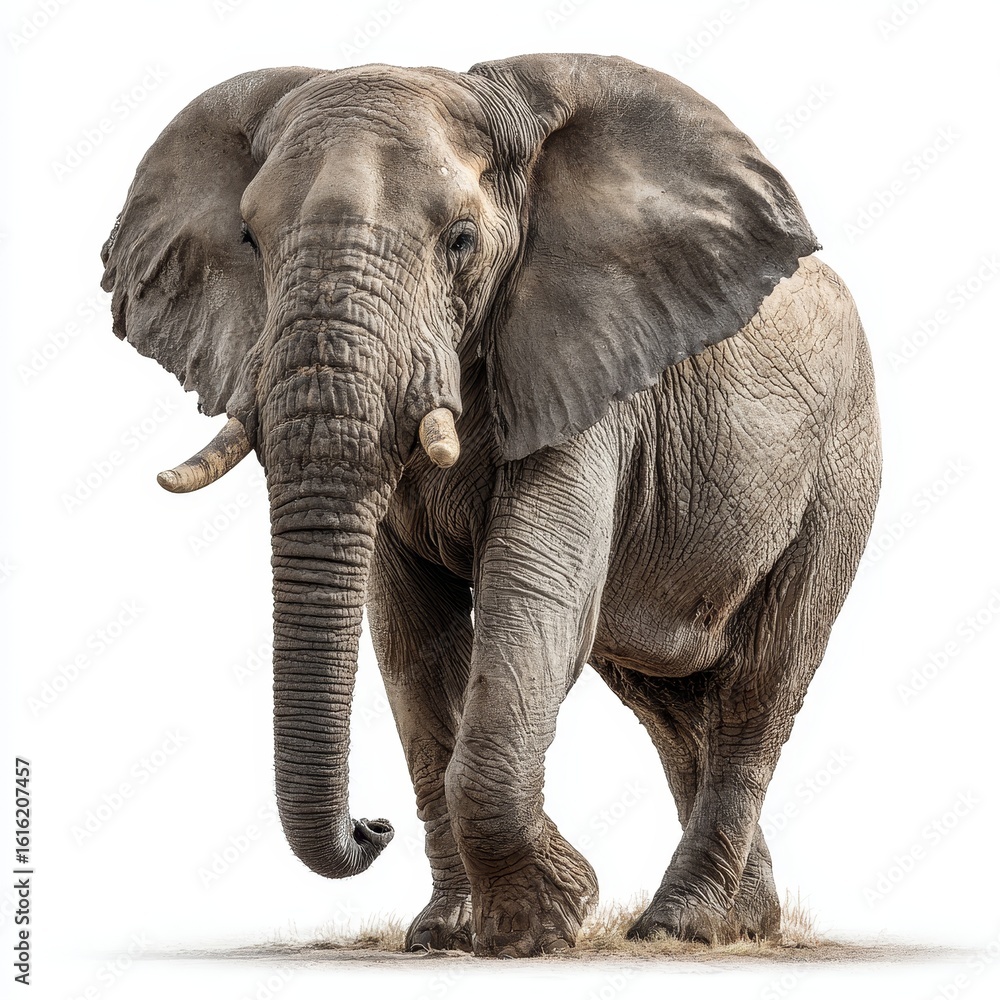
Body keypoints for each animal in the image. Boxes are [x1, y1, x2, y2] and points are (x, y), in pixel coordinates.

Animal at [101, 52, 880, 957]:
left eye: (462, 242)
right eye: (250, 241)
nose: (369, 828)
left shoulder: (587, 371)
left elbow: (531, 592)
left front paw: (539, 924)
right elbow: (411, 635)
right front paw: (444, 934)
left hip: (840, 470)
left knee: (759, 688)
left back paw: (677, 926)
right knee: (671, 710)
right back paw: (737, 924)